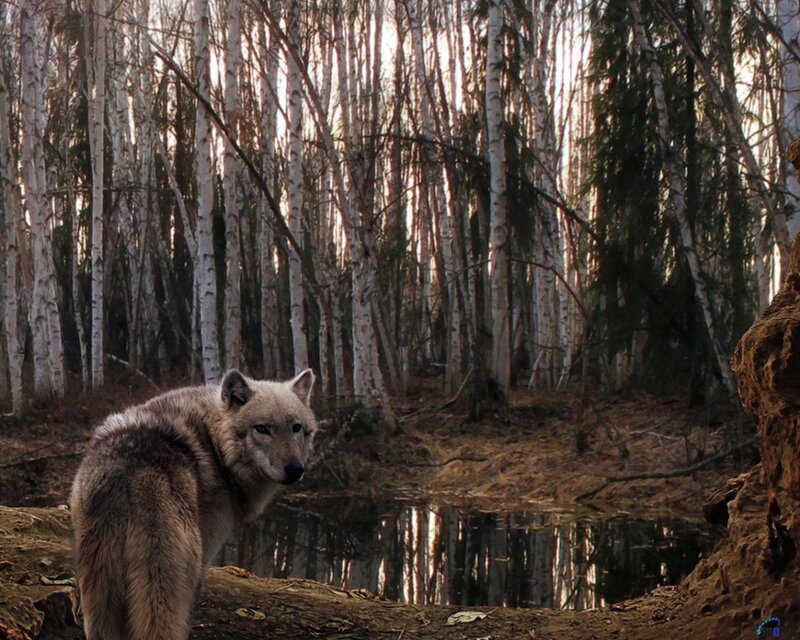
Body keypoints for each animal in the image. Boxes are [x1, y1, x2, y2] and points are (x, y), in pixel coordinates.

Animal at [70, 368, 317, 640]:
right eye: (262, 429)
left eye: (296, 428)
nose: (295, 469)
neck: (216, 445)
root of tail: (133, 472)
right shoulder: (206, 553)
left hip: (98, 589)